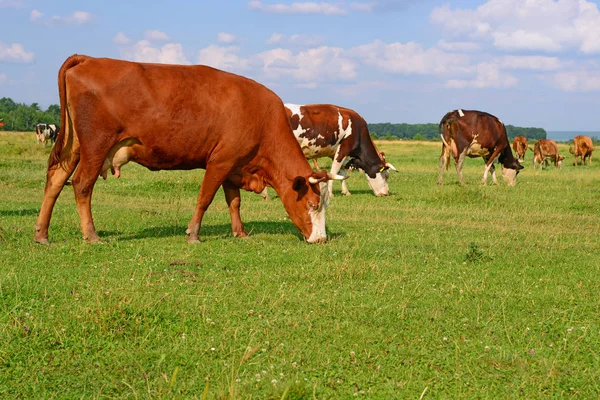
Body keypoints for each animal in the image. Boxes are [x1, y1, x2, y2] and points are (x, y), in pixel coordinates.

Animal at [34, 55, 346, 245]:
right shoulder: (220, 161)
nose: (320, 239)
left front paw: (240, 232)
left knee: (56, 181)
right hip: (96, 146)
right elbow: (205, 198)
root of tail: (88, 58)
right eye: (312, 205)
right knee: (82, 185)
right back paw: (91, 235)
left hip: (74, 146)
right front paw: (193, 234)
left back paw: (42, 234)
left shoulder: (234, 165)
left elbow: (234, 202)